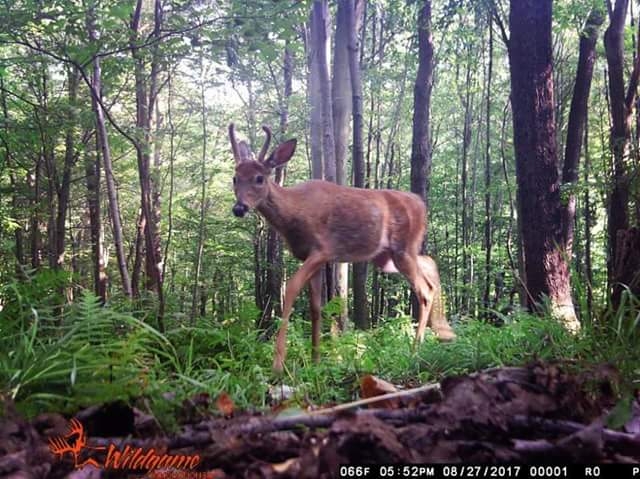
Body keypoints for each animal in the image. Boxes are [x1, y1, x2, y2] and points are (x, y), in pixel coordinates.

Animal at [229, 124, 456, 373]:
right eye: (235, 178)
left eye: (259, 178)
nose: (239, 208)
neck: (295, 212)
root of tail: (421, 205)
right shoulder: (310, 258)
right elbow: (315, 307)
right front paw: (316, 360)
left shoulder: (322, 250)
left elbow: (291, 289)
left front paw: (278, 364)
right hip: (387, 257)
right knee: (430, 264)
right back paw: (443, 332)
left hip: (402, 249)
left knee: (424, 290)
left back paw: (415, 349)